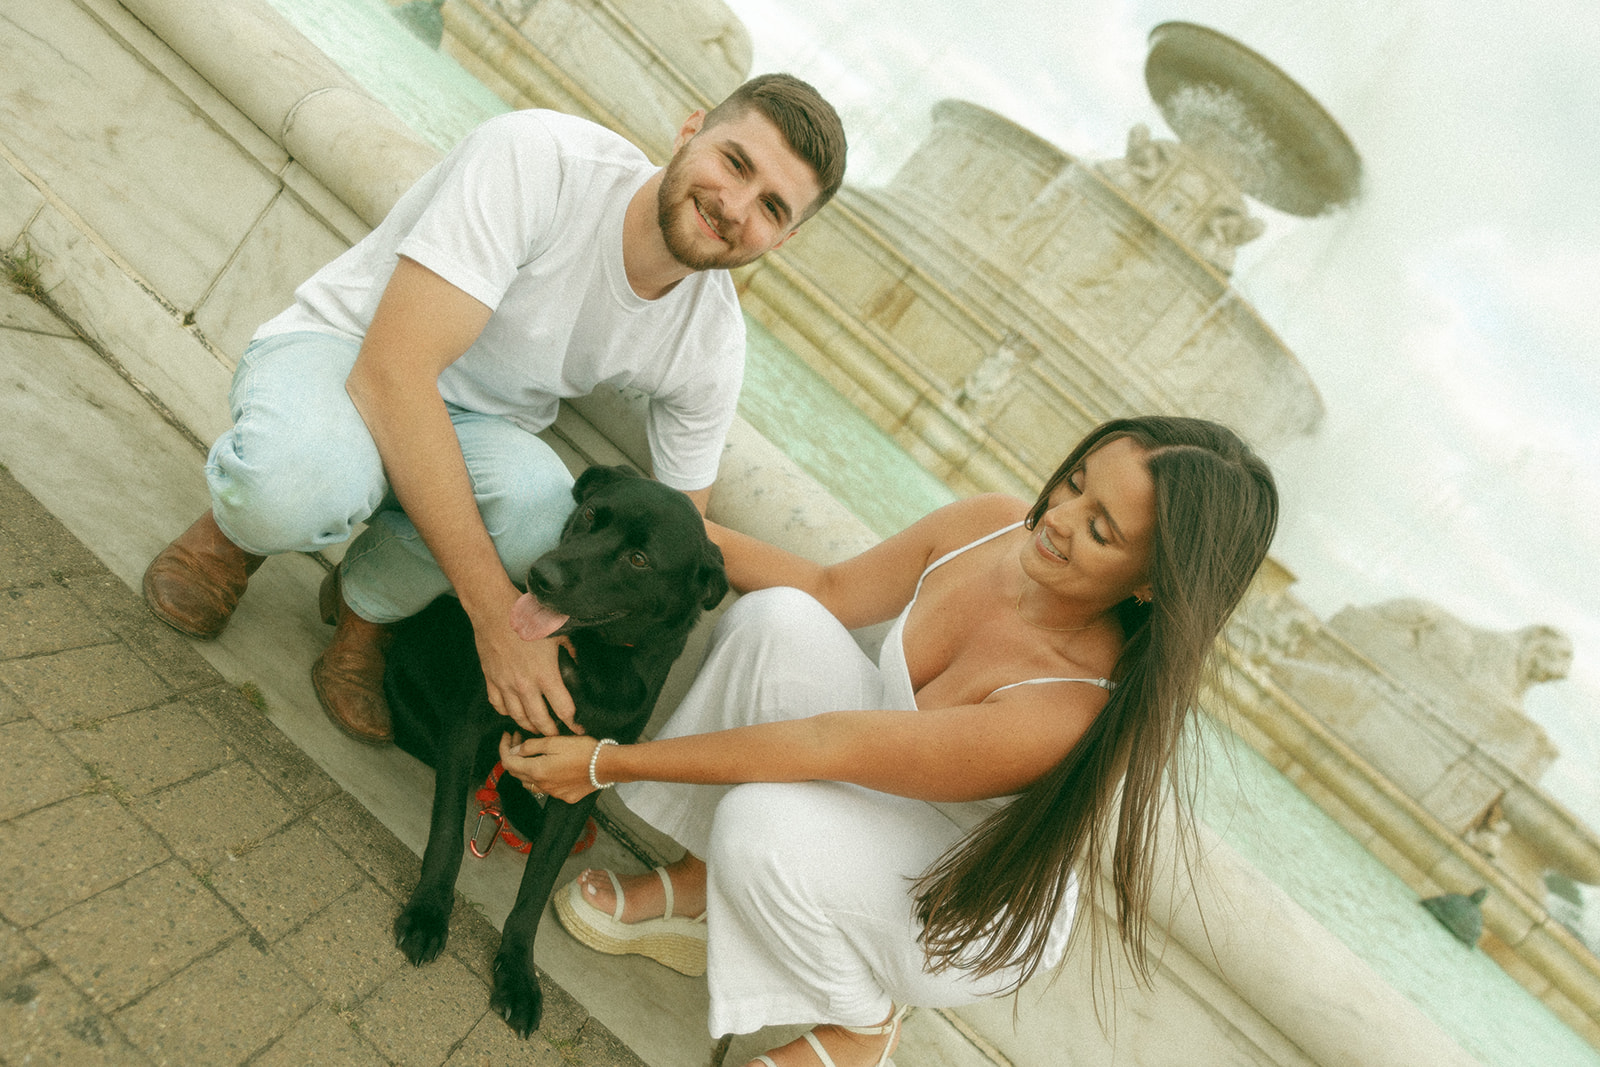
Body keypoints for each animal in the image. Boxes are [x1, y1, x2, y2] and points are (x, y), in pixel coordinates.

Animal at [380, 463, 726, 1036]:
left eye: (639, 558)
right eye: (589, 514)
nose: (540, 577)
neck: (592, 662)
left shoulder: (582, 781)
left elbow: (537, 886)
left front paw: (517, 973)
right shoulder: (467, 727)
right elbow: (449, 833)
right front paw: (429, 913)